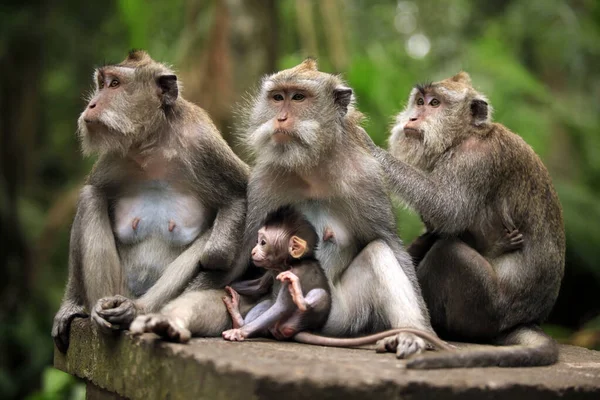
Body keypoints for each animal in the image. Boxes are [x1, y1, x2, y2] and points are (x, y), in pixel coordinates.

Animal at [51, 49, 248, 350]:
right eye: (101, 83)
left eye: (115, 84)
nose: (92, 104)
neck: (153, 144)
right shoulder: (114, 158)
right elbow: (94, 190)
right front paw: (71, 305)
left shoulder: (203, 144)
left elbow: (238, 198)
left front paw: (216, 257)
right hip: (118, 288)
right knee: (90, 197)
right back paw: (101, 311)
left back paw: (136, 310)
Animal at [221, 206, 450, 350]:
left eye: (263, 242)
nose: (253, 252)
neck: (287, 264)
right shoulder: (271, 270)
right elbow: (259, 288)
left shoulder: (293, 272)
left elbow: (281, 306)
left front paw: (240, 333)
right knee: (266, 303)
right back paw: (238, 317)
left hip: (303, 320)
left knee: (315, 297)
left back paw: (299, 299)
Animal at [368, 72, 564, 368]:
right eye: (419, 101)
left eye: (435, 103)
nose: (412, 118)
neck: (465, 136)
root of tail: (525, 320)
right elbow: (440, 223)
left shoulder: (474, 159)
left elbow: (447, 209)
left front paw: (366, 146)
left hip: (486, 311)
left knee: (449, 253)